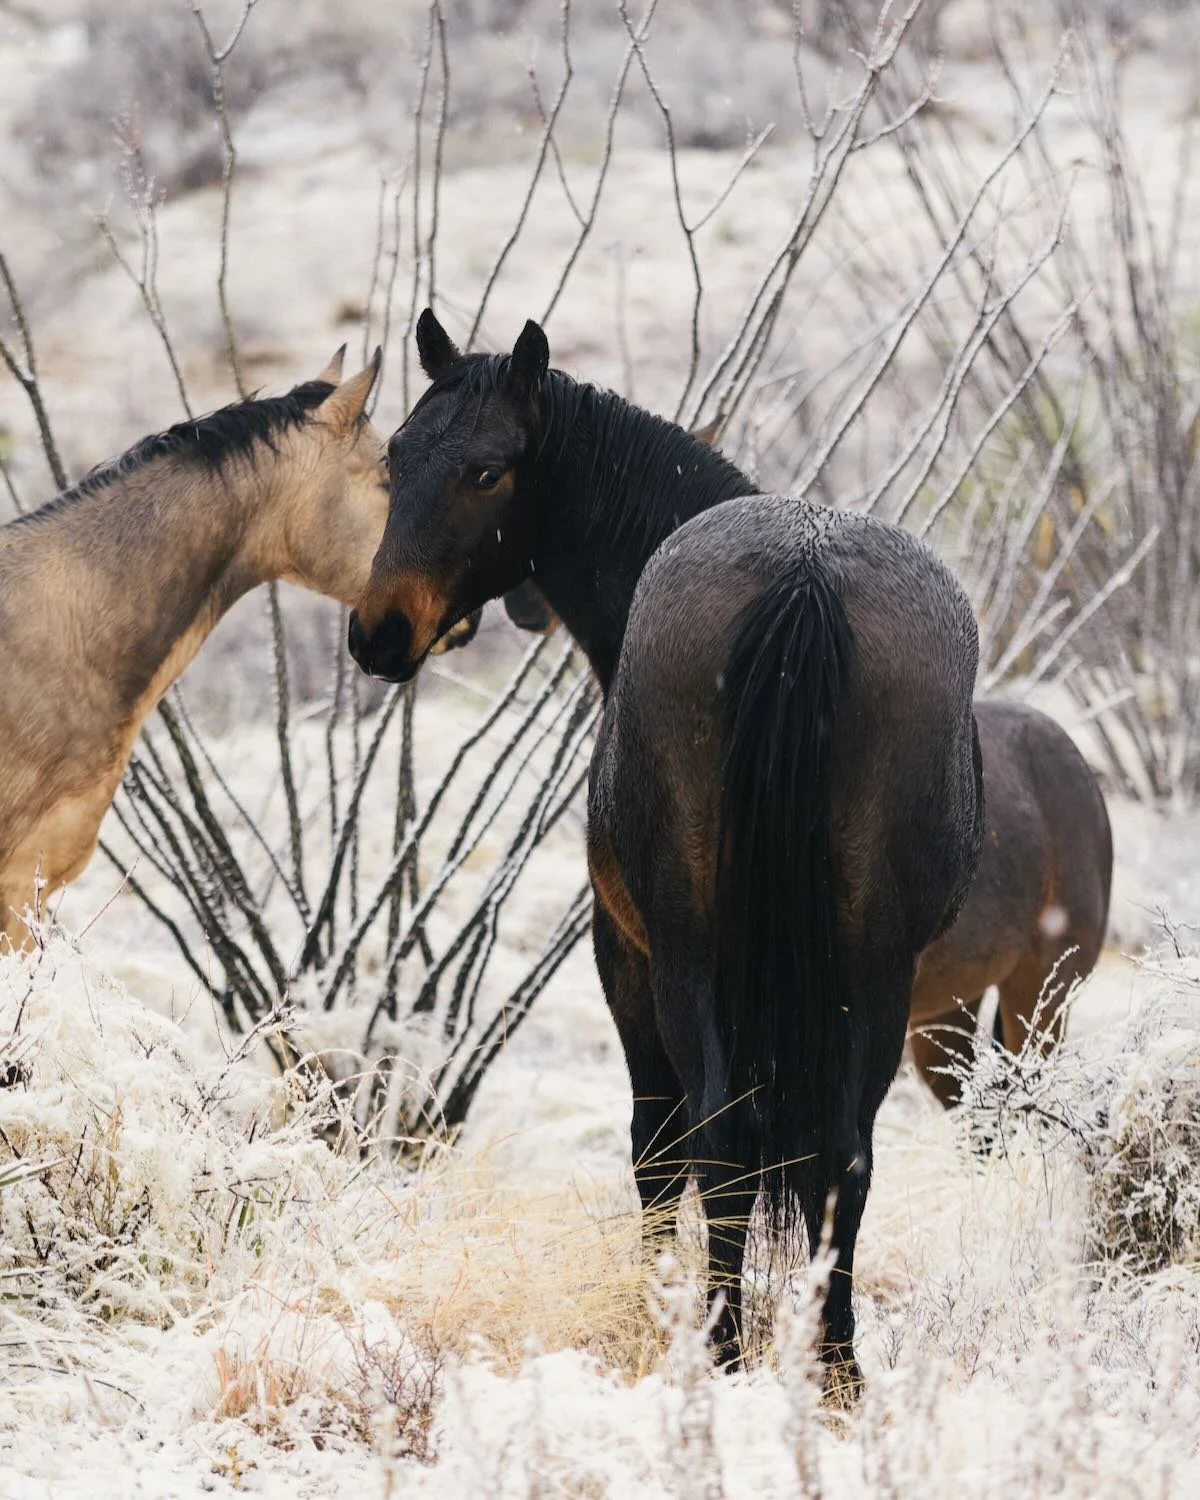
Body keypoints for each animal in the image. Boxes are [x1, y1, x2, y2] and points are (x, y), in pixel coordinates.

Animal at [348, 310, 985, 1398]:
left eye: (487, 472)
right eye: (395, 455)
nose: (378, 633)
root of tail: (804, 578)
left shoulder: (628, 958)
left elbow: (657, 1150)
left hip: (688, 956)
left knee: (717, 1145)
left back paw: (720, 1350)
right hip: (874, 969)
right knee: (844, 1157)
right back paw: (836, 1366)